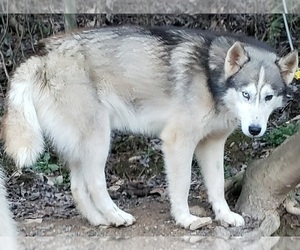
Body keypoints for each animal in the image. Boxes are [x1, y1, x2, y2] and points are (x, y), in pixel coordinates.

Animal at [1, 26, 298, 229]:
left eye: (268, 97)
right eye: (246, 94)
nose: (255, 130)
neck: (210, 78)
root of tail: (42, 52)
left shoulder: (212, 145)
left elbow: (215, 186)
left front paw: (224, 216)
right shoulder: (177, 142)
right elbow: (183, 186)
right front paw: (186, 219)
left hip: (83, 146)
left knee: (76, 186)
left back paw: (100, 220)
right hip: (99, 141)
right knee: (95, 183)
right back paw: (116, 216)